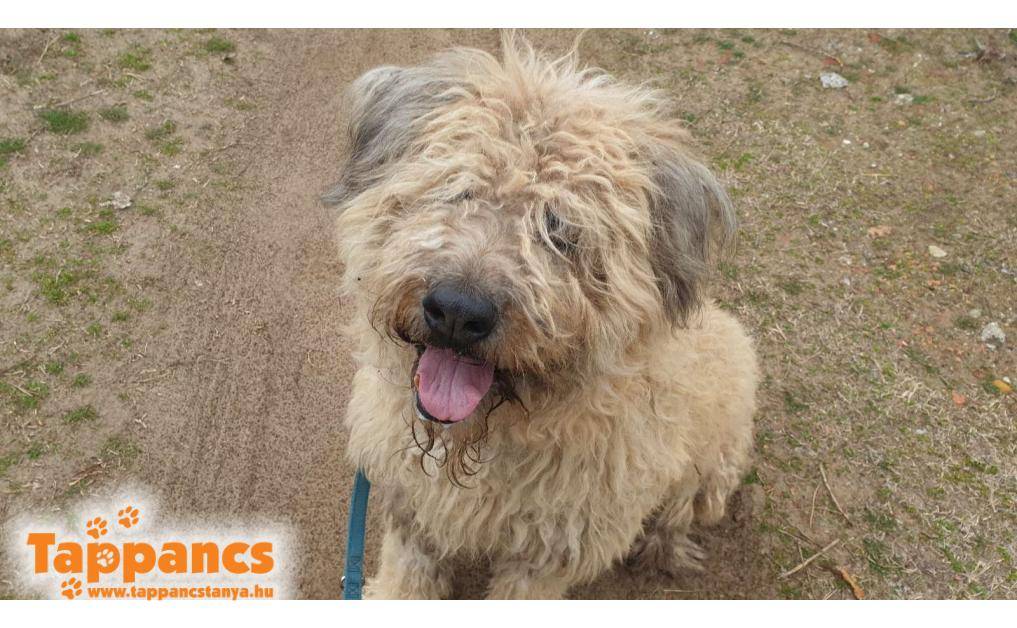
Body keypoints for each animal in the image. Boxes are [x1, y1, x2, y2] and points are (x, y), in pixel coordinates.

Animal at [326, 34, 759, 599]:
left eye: (561, 231)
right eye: (458, 189)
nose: (457, 312)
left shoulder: (549, 554)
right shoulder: (411, 506)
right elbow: (408, 576)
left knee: (683, 508)